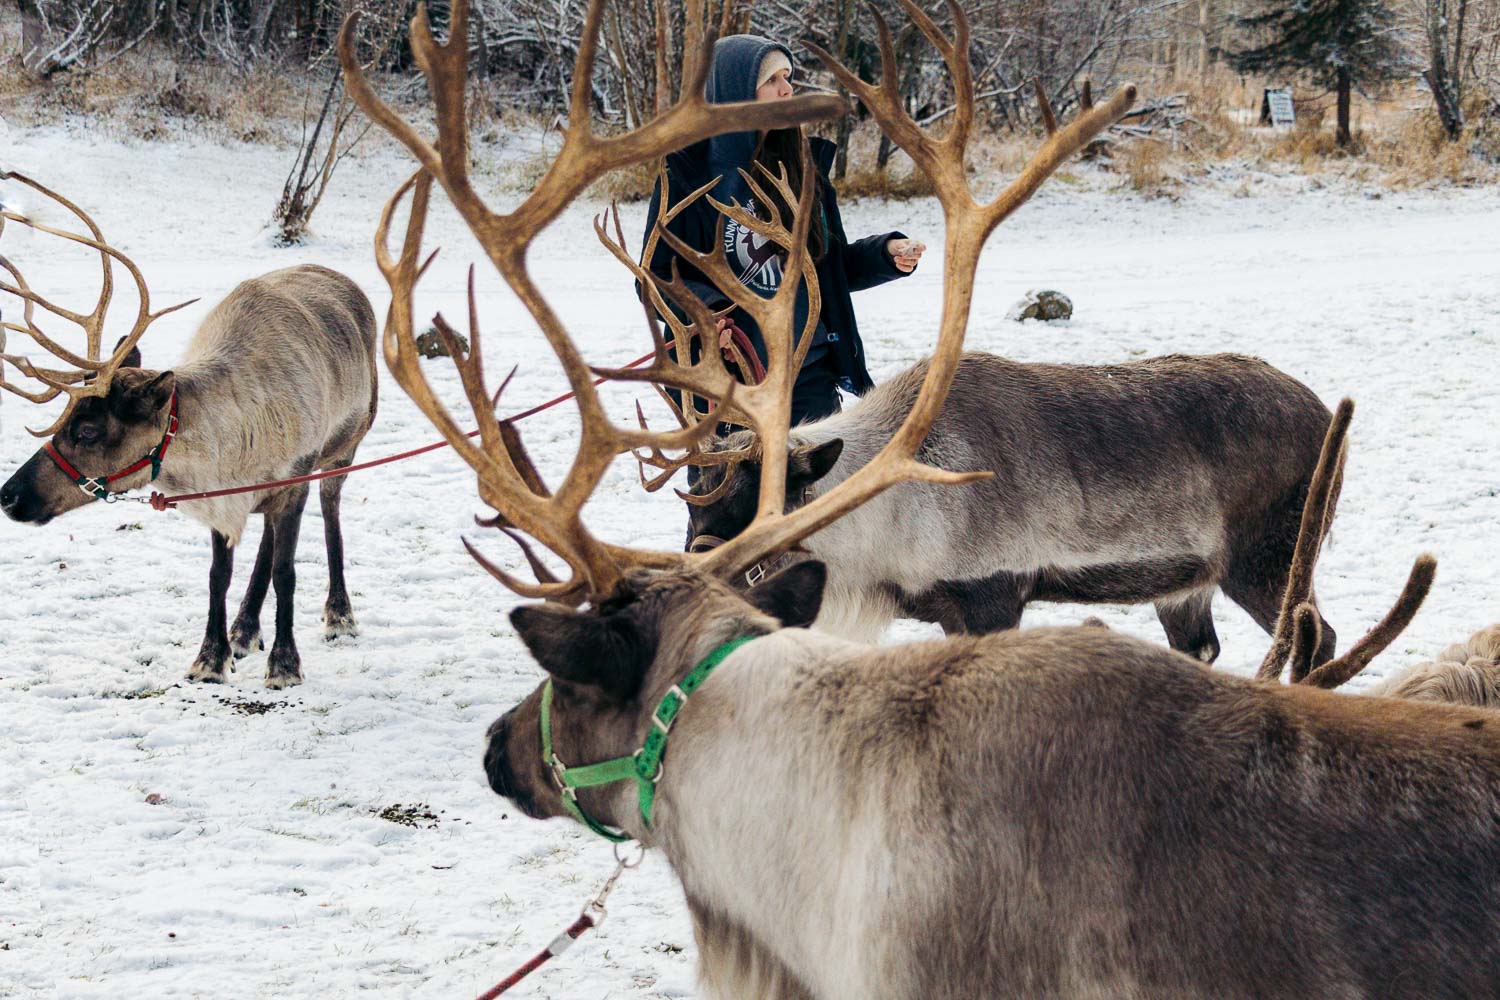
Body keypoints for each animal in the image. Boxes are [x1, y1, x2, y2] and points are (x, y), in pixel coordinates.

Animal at [0, 174, 378, 688]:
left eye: (89, 431)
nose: (8, 495)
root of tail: (343, 279)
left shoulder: (294, 477)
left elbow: (287, 571)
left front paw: (285, 664)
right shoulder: (222, 491)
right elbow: (220, 573)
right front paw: (212, 657)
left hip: (344, 450)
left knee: (331, 513)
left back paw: (339, 614)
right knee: (265, 538)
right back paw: (244, 628)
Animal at [345, 2, 1500, 998]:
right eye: (708, 515)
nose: (496, 749)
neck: (876, 525)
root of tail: (1323, 409)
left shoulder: (993, 587)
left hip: (1274, 554)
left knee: (1321, 632)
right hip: (1191, 585)